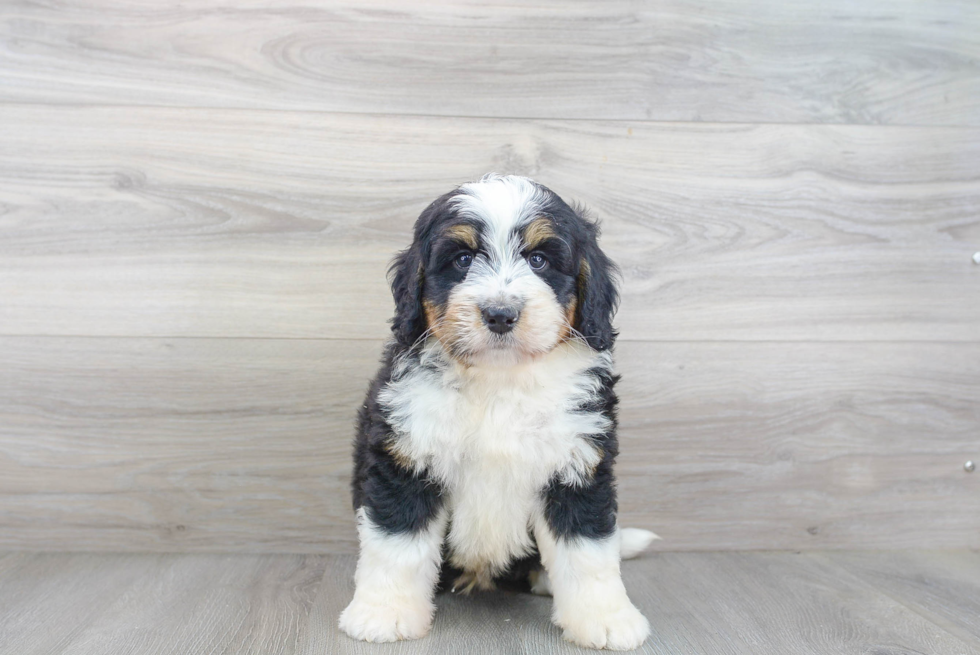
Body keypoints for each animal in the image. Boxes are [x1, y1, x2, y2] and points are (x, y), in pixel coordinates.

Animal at [340, 174, 656, 652]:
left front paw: (606, 619)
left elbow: (589, 548)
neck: (499, 379)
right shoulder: (405, 457)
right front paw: (384, 613)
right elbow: (397, 543)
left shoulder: (578, 463)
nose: (500, 314)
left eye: (539, 259)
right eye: (463, 259)